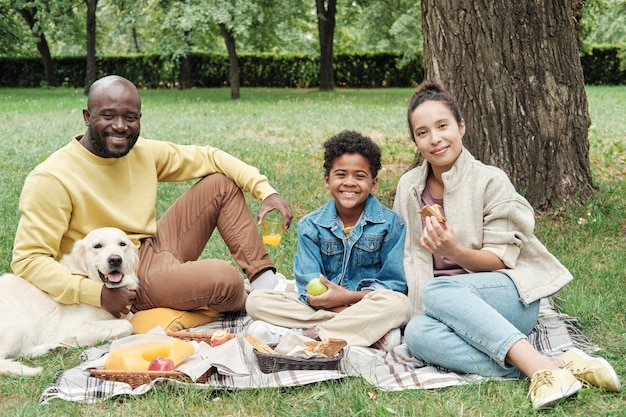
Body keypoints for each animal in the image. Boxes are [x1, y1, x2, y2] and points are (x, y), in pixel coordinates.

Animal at [0, 229, 138, 376]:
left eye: (122, 244)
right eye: (97, 246)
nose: (115, 259)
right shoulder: (72, 329)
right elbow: (128, 325)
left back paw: (53, 348)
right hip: (17, 326)